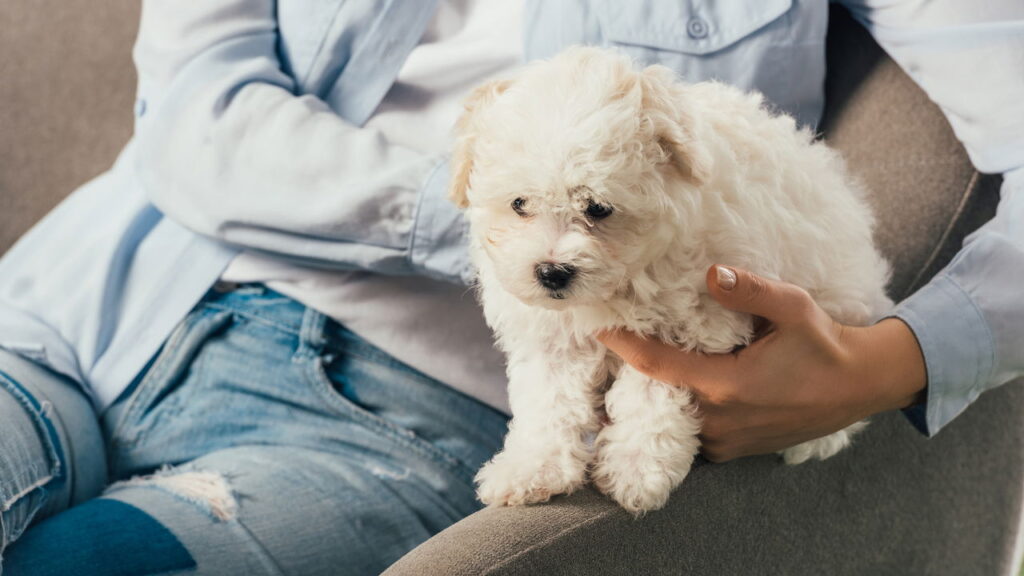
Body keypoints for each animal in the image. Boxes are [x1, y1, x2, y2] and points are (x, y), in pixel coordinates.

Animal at [452, 45, 892, 510]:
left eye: (598, 208)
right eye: (519, 204)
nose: (552, 272)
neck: (620, 284)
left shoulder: (693, 324)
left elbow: (651, 392)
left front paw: (636, 467)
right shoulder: (552, 337)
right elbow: (548, 399)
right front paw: (533, 467)